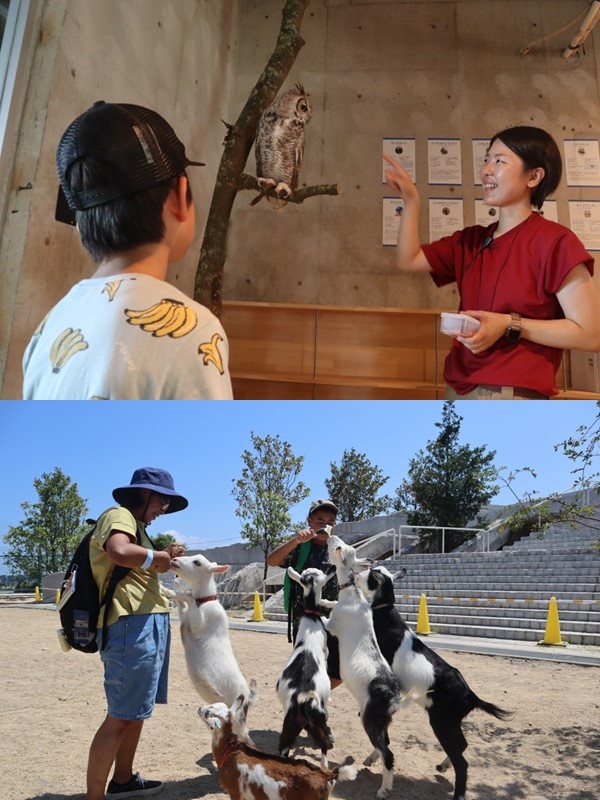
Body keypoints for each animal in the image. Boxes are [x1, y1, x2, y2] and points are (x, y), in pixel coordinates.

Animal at [276, 564, 338, 764]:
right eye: (321, 573)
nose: (332, 566)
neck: (311, 619)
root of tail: (302, 699)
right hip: (318, 720)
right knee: (324, 746)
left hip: (289, 727)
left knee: (283, 751)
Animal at [358, 564, 512, 800]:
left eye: (370, 574)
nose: (356, 574)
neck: (384, 611)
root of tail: (471, 696)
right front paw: (372, 758)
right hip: (451, 722)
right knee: (462, 745)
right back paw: (442, 766)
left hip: (442, 723)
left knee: (462, 762)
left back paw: (458, 793)